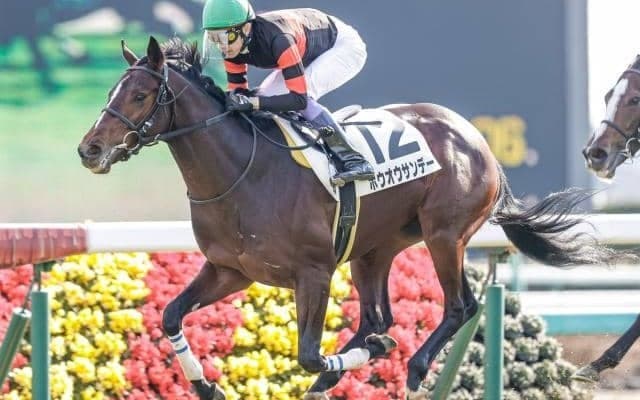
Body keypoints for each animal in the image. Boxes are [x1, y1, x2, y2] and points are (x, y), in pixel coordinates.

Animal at [78, 36, 619, 400]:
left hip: (444, 235)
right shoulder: (231, 270)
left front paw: (367, 356)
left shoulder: (313, 273)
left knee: (458, 306)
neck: (241, 172)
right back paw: (347, 367)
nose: (90, 150)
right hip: (374, 249)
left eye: (140, 96)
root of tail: (475, 137)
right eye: (110, 92)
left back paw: (413, 368)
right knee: (379, 315)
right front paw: (208, 387)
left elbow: (307, 352)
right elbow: (171, 314)